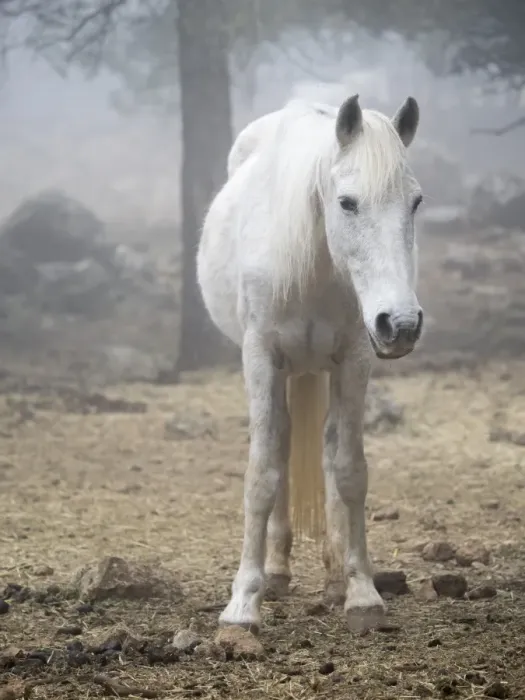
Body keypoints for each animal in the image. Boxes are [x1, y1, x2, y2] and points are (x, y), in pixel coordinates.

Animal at [197, 94, 424, 634]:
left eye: (416, 202)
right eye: (347, 202)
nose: (401, 324)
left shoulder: (356, 357)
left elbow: (349, 471)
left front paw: (362, 594)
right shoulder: (261, 357)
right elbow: (263, 472)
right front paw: (243, 604)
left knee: (325, 451)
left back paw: (334, 575)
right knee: (280, 447)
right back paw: (276, 573)